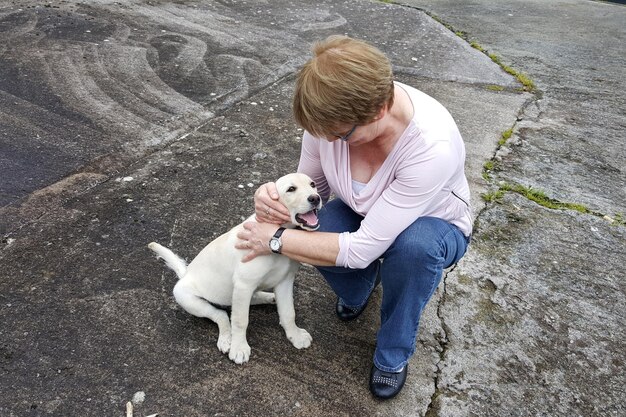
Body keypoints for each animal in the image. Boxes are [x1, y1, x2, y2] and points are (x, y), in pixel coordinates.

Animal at [148, 171, 320, 362]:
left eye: (312, 184)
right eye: (291, 189)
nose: (316, 198)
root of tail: (185, 274)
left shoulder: (285, 281)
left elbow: (289, 312)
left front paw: (295, 335)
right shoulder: (244, 285)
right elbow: (239, 320)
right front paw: (239, 347)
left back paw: (269, 298)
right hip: (188, 298)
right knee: (222, 315)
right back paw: (226, 339)